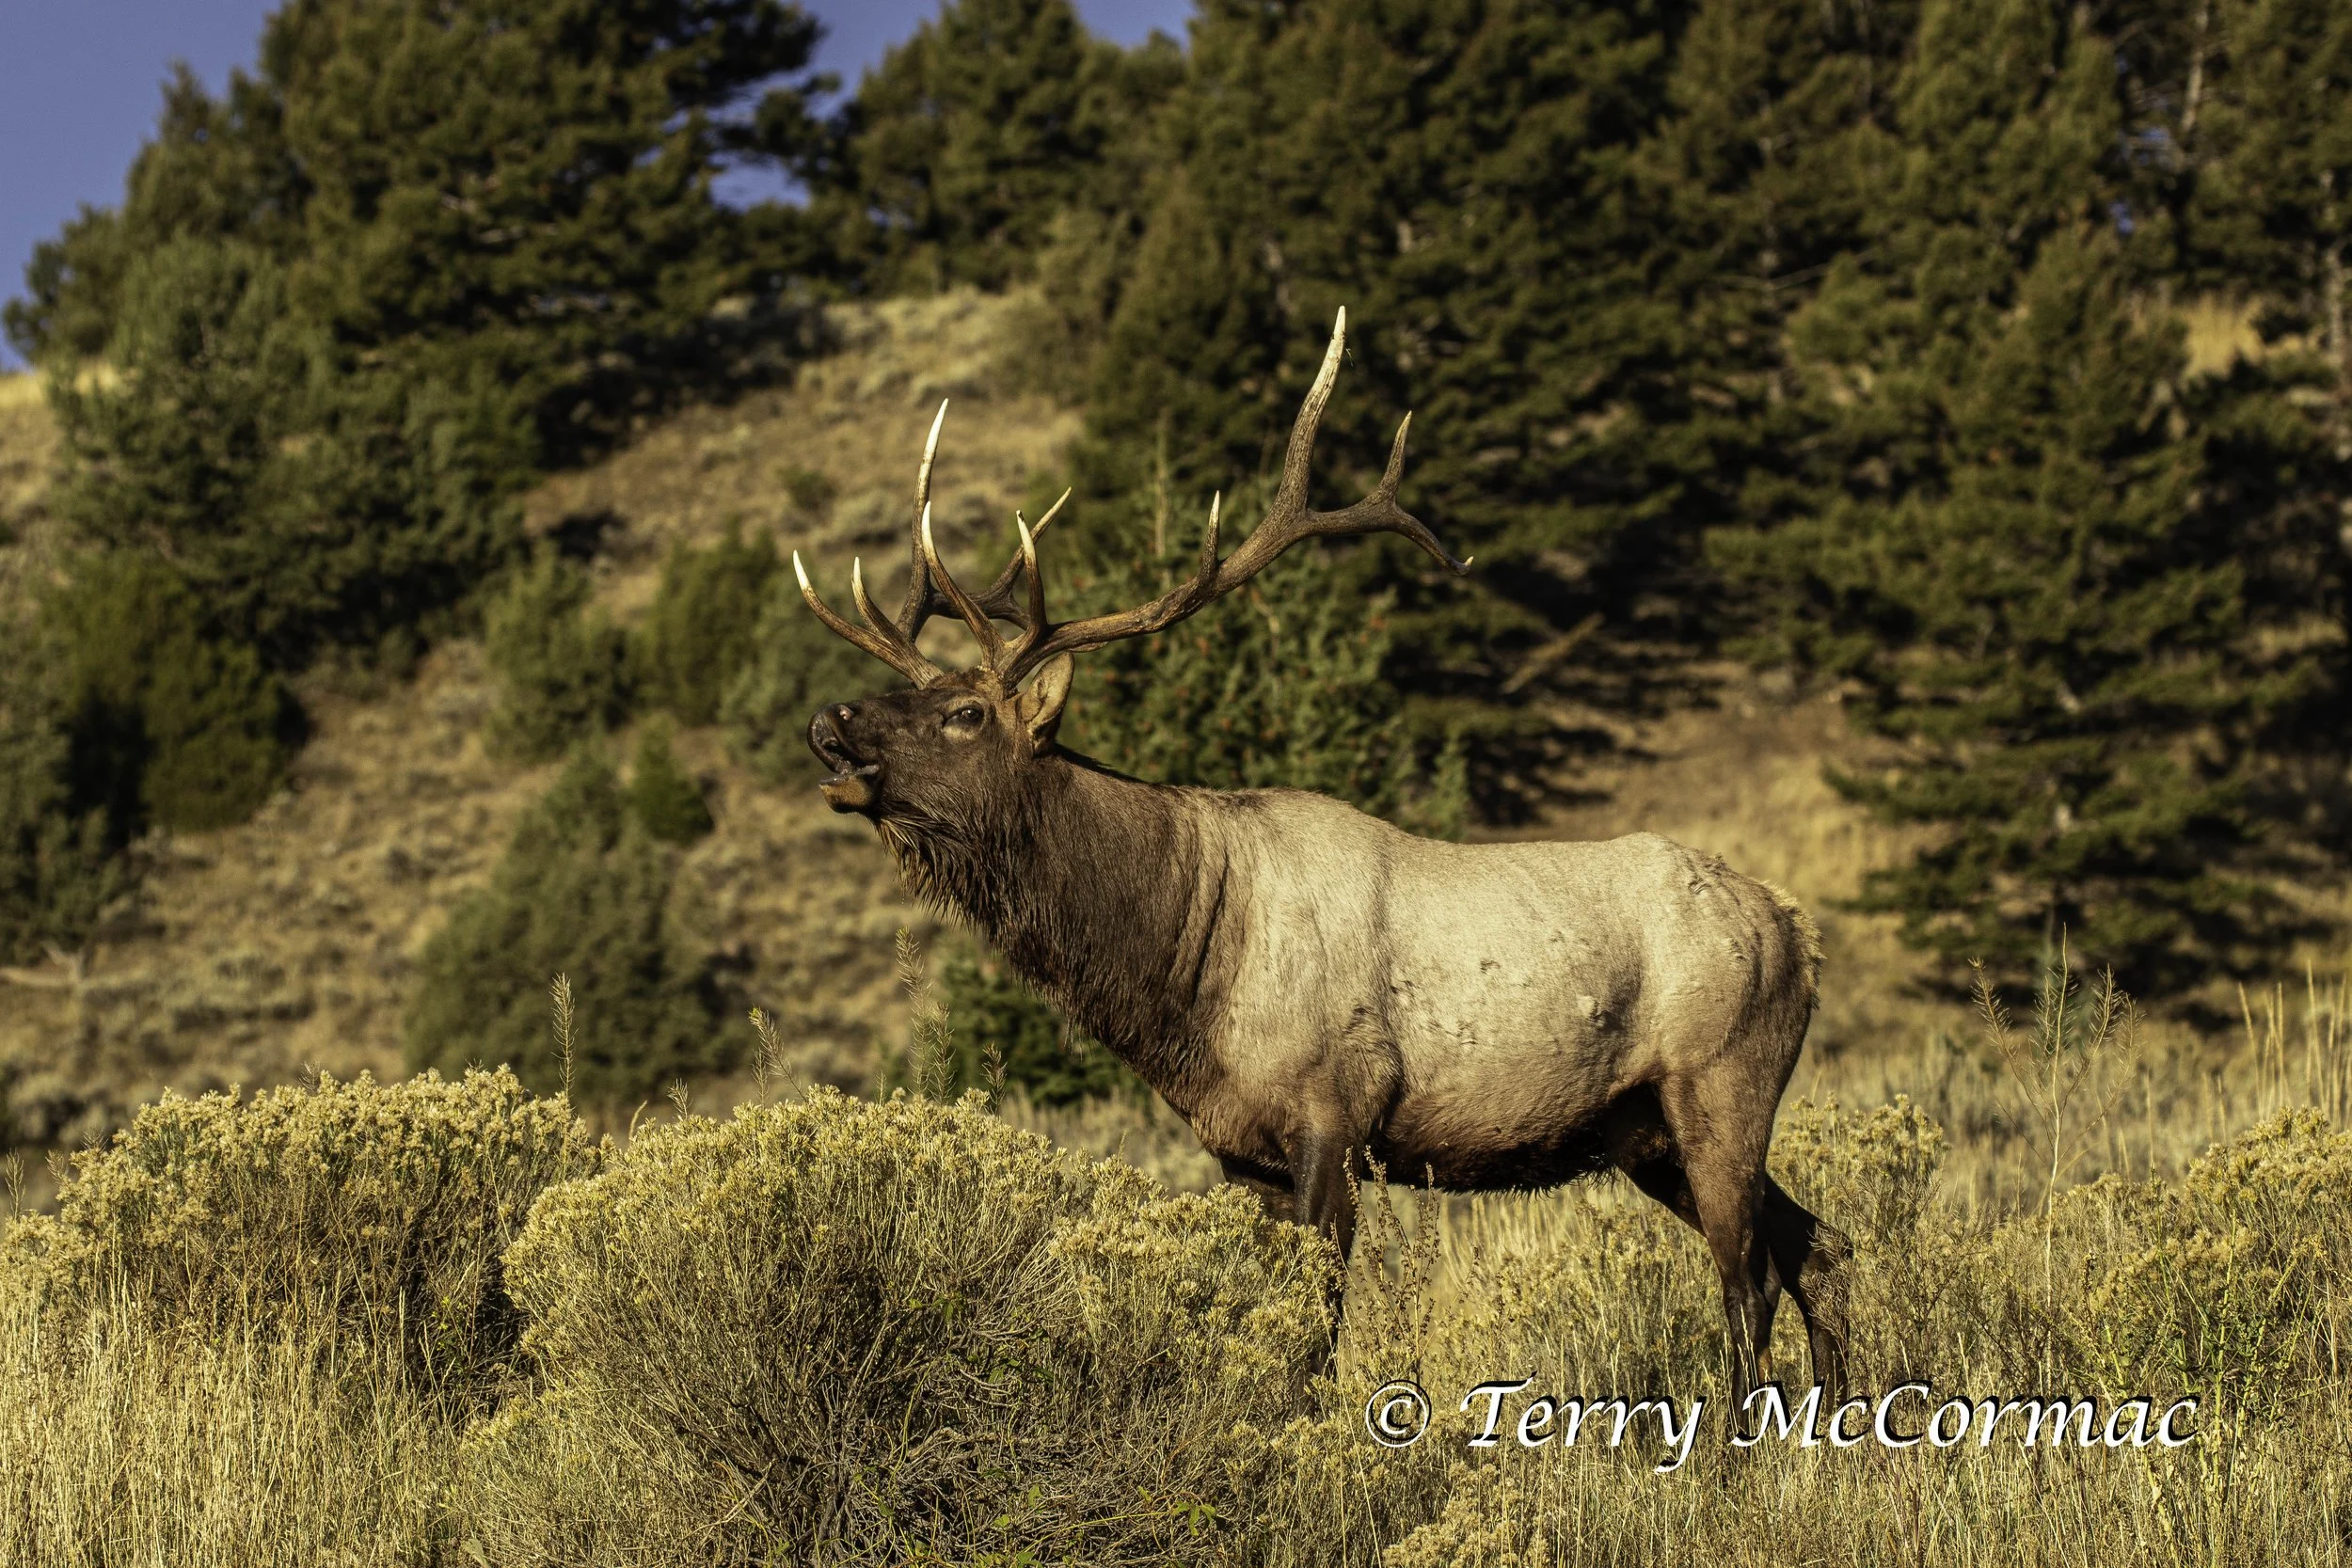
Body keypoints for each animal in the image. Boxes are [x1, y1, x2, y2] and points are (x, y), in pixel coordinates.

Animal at [793, 309, 1851, 1415]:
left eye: (964, 712)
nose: (830, 722)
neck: (1182, 976)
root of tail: (1799, 927)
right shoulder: (1237, 1145)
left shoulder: (1334, 1109)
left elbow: (1311, 1337)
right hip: (1645, 1132)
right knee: (1821, 1246)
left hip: (1722, 1080)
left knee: (1748, 1282)